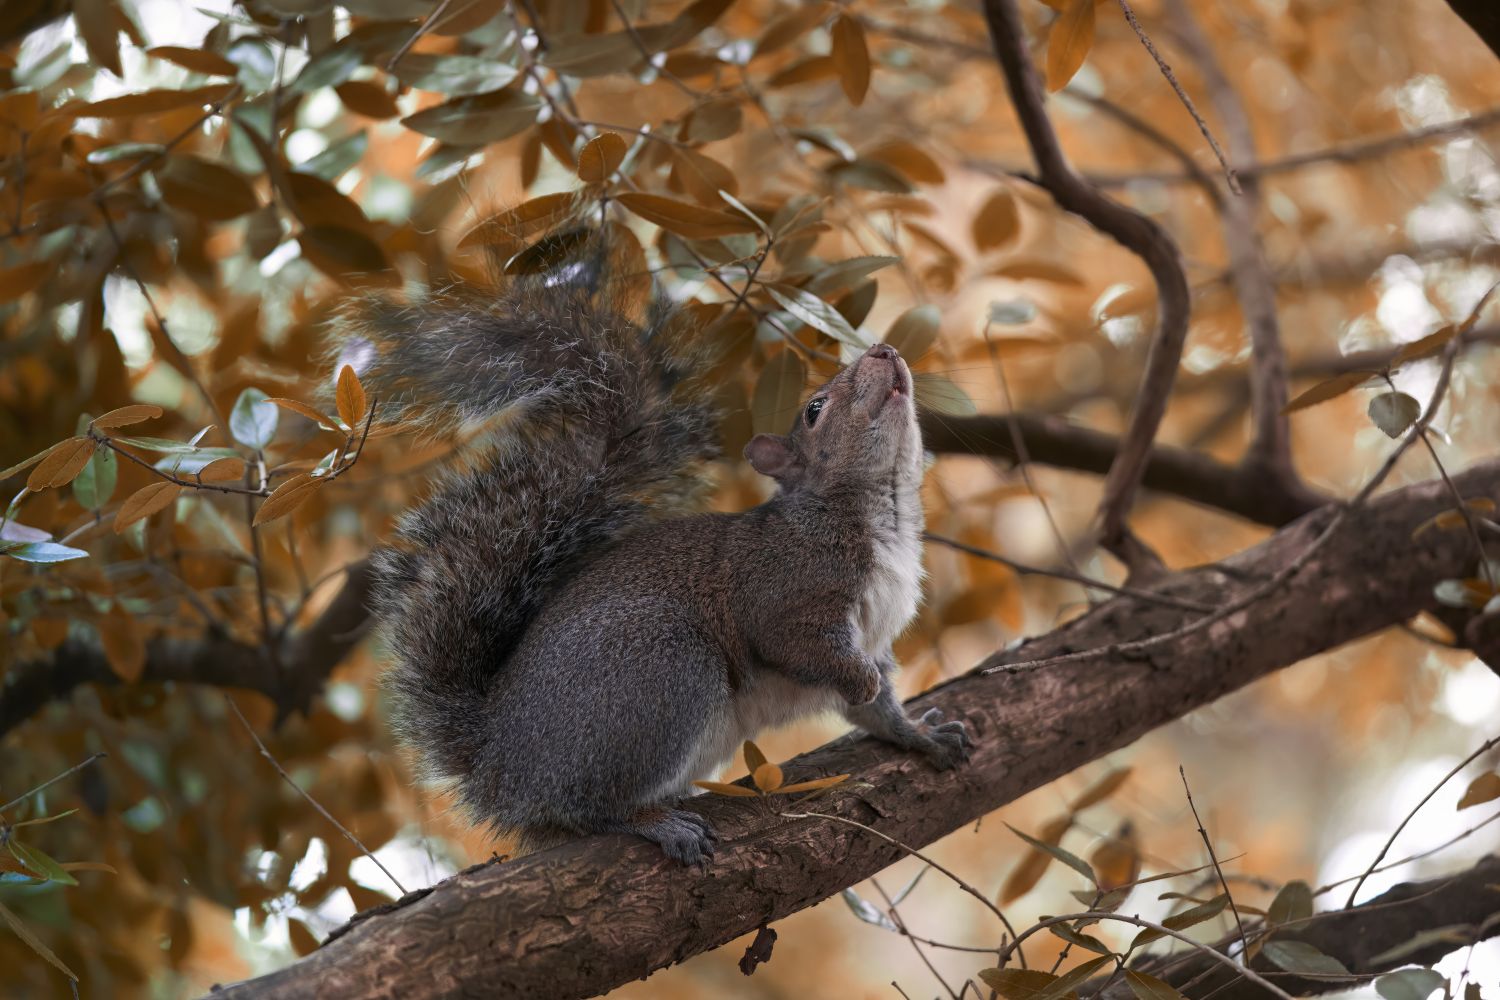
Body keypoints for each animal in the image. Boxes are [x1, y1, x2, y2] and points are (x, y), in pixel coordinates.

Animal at [335, 237, 973, 866]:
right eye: (815, 409)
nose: (885, 351)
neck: (885, 513)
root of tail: (499, 768)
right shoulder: (785, 585)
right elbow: (802, 645)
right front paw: (858, 682)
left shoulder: (878, 634)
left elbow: (879, 709)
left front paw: (920, 735)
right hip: (660, 670)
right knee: (587, 807)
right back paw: (654, 822)